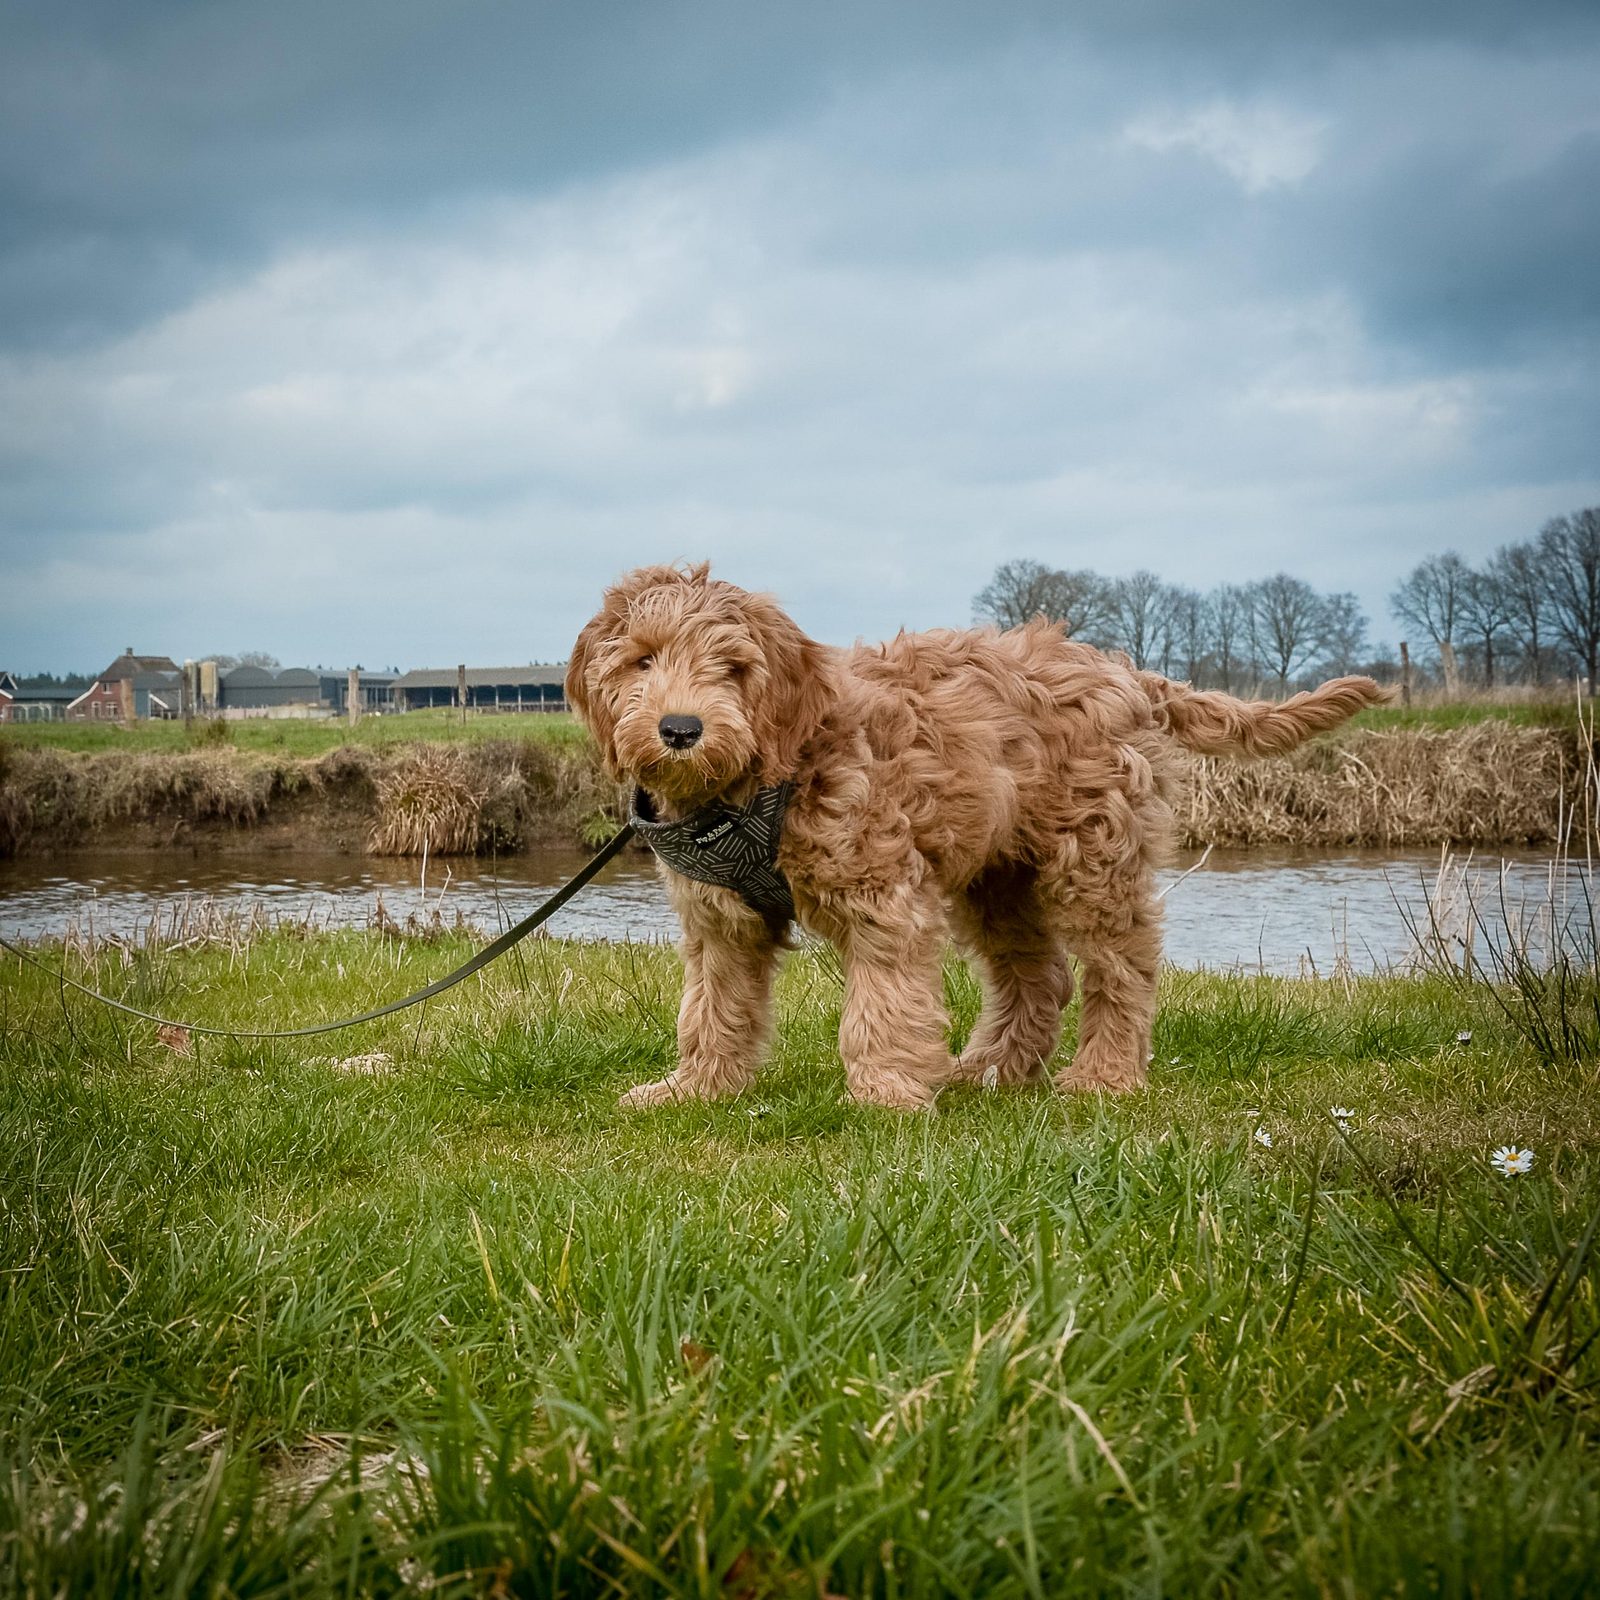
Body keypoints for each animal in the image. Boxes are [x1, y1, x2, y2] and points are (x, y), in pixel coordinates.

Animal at [569, 566, 1395, 1113]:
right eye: (643, 659)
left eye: (734, 668)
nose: (681, 728)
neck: (757, 781)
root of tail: (1123, 671)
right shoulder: (720, 920)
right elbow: (712, 1007)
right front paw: (693, 1088)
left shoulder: (884, 896)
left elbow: (881, 1003)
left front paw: (885, 1097)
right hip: (1000, 878)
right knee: (1038, 975)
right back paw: (991, 1069)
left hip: (1092, 859)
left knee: (1120, 969)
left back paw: (1103, 1075)